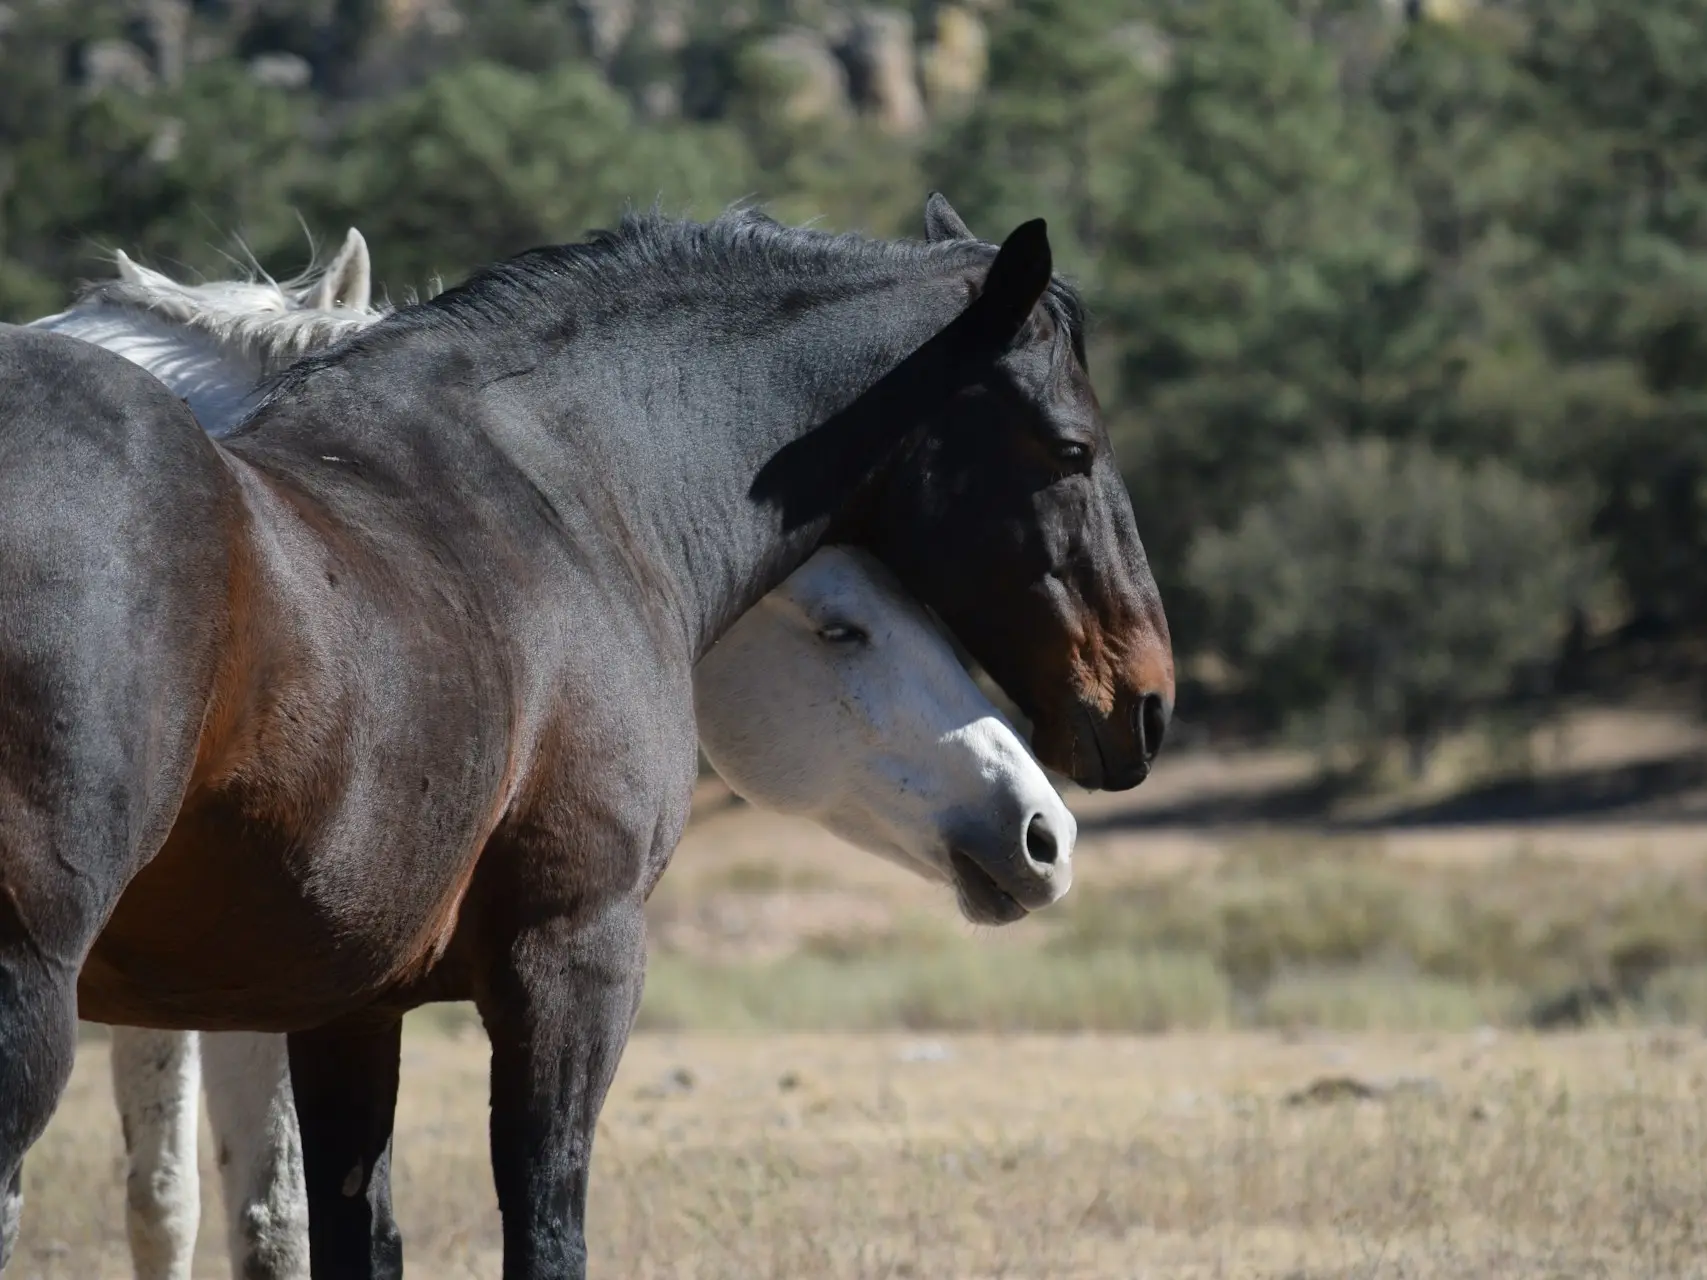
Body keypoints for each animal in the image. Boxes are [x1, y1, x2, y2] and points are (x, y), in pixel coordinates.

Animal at [0, 195, 1174, 1276]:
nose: (1143, 705)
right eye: (1072, 448)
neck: (564, 494)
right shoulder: (573, 959)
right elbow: (539, 1230)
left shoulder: (342, 1007)